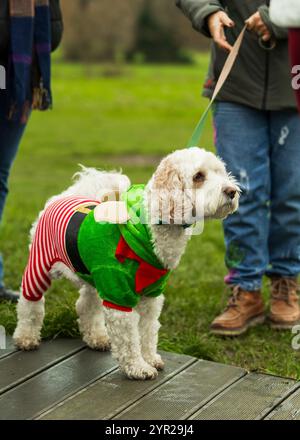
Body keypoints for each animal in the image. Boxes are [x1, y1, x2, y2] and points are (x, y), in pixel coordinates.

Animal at [13, 147, 239, 378]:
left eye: (220, 172)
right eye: (198, 176)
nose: (232, 191)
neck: (148, 231)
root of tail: (64, 196)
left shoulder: (151, 296)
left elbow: (147, 332)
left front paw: (149, 358)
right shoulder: (118, 296)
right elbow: (129, 339)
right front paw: (138, 367)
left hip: (92, 277)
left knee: (86, 304)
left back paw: (96, 337)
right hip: (39, 266)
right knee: (29, 303)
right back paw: (26, 337)